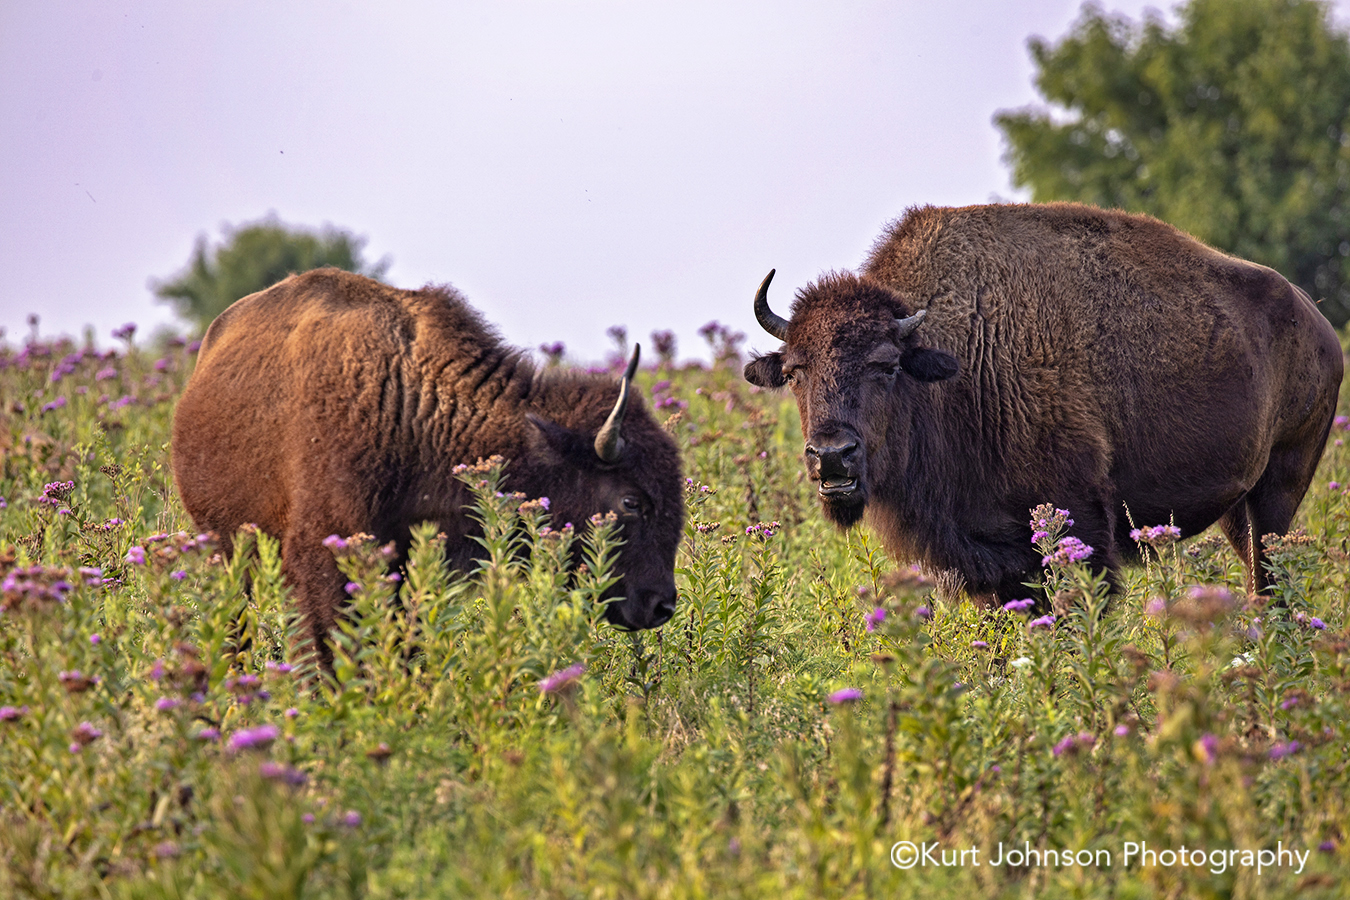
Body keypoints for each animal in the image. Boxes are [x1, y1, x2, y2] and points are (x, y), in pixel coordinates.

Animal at [744, 202, 1342, 603]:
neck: (959, 357)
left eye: (886, 365)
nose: (832, 456)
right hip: (1237, 508)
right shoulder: (989, 557)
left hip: (1279, 489)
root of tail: (1320, 324)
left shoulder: (1081, 527)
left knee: (1269, 577)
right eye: (794, 372)